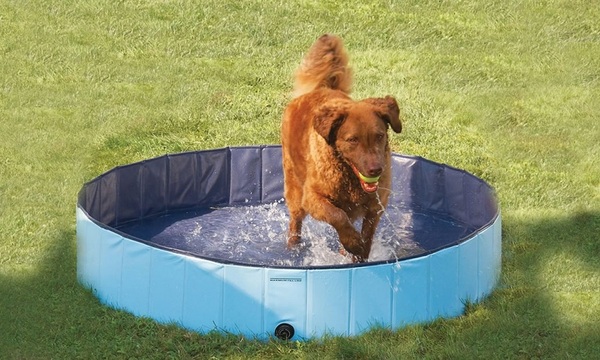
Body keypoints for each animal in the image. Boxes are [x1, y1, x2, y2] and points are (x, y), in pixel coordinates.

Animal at [282, 35, 404, 262]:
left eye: (379, 136)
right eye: (352, 140)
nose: (375, 169)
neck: (349, 176)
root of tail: (321, 88)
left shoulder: (376, 205)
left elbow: (367, 234)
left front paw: (357, 253)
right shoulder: (312, 198)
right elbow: (336, 215)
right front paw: (352, 243)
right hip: (294, 187)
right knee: (295, 222)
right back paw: (293, 248)